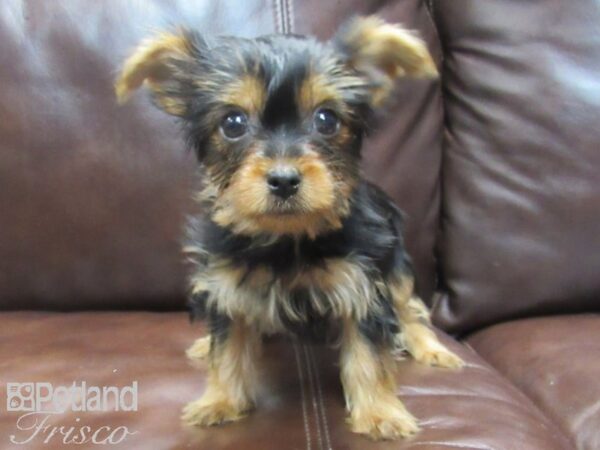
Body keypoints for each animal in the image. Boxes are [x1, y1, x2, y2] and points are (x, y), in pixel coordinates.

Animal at [117, 16, 464, 440]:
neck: (286, 237)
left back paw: (432, 348)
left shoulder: (362, 284)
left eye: (327, 119)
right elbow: (228, 346)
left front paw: (380, 413)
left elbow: (368, 354)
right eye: (233, 123)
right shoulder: (225, 284)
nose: (283, 180)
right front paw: (220, 401)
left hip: (395, 265)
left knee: (408, 308)